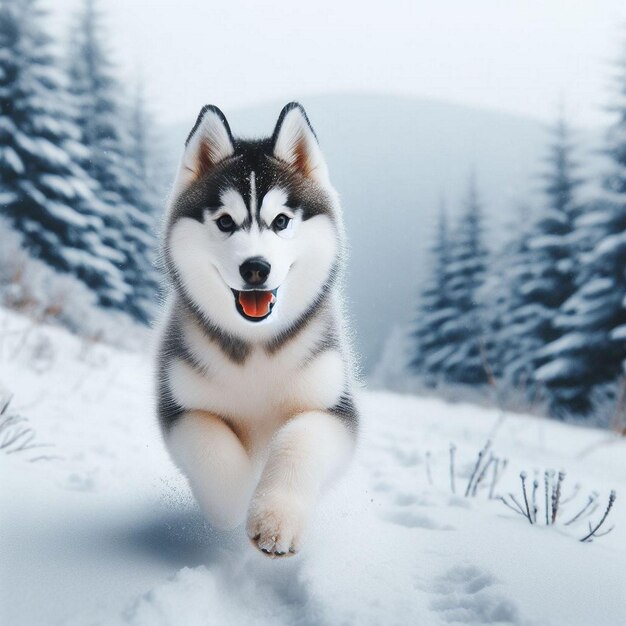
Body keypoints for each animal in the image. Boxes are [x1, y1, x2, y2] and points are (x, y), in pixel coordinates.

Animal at [157, 102, 356, 556]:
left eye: (281, 221)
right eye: (225, 222)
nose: (255, 268)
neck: (256, 346)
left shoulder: (332, 407)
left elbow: (299, 439)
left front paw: (275, 518)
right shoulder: (180, 404)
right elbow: (211, 442)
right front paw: (236, 500)